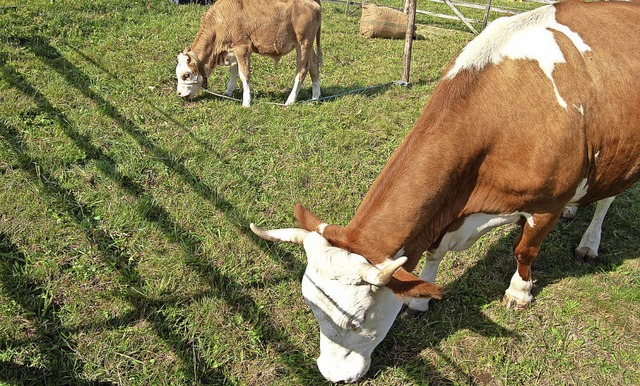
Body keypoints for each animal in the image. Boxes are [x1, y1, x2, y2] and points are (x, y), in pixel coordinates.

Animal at [175, 0, 322, 106]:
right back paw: (315, 97)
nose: (179, 94)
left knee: (302, 69)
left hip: (303, 42)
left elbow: (244, 74)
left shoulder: (242, 47)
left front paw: (246, 102)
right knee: (314, 64)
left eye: (186, 75)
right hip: (308, 45)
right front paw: (228, 91)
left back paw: (290, 100)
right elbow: (233, 69)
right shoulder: (232, 49)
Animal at [249, 0, 640, 382]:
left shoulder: (547, 203)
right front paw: (420, 300)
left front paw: (519, 291)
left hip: (623, 154)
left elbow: (525, 249)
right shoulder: (448, 210)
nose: (331, 376)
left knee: (607, 199)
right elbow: (434, 253)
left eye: (357, 321)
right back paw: (575, 211)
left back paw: (589, 244)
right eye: (312, 307)